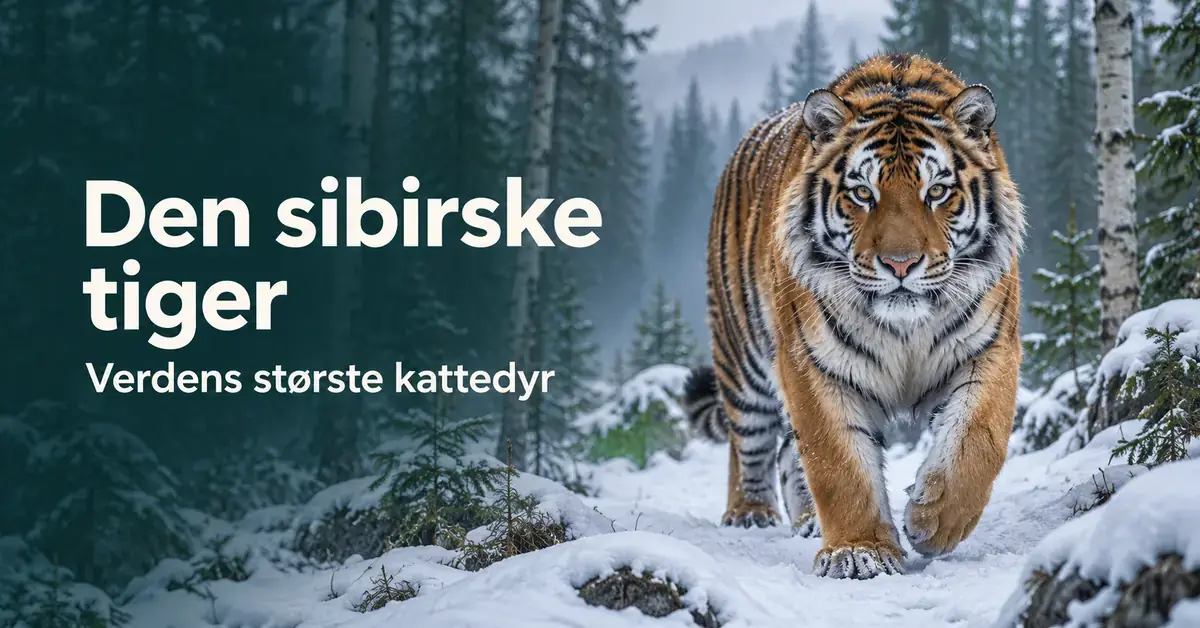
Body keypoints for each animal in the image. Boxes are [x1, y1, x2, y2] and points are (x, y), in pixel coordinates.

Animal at [683, 53, 1025, 580]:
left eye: (937, 191)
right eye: (863, 194)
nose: (901, 264)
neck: (906, 329)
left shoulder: (989, 349)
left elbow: (977, 440)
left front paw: (933, 521)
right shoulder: (812, 363)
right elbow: (837, 462)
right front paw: (860, 552)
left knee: (787, 453)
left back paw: (807, 523)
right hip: (742, 355)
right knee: (750, 441)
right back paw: (749, 513)